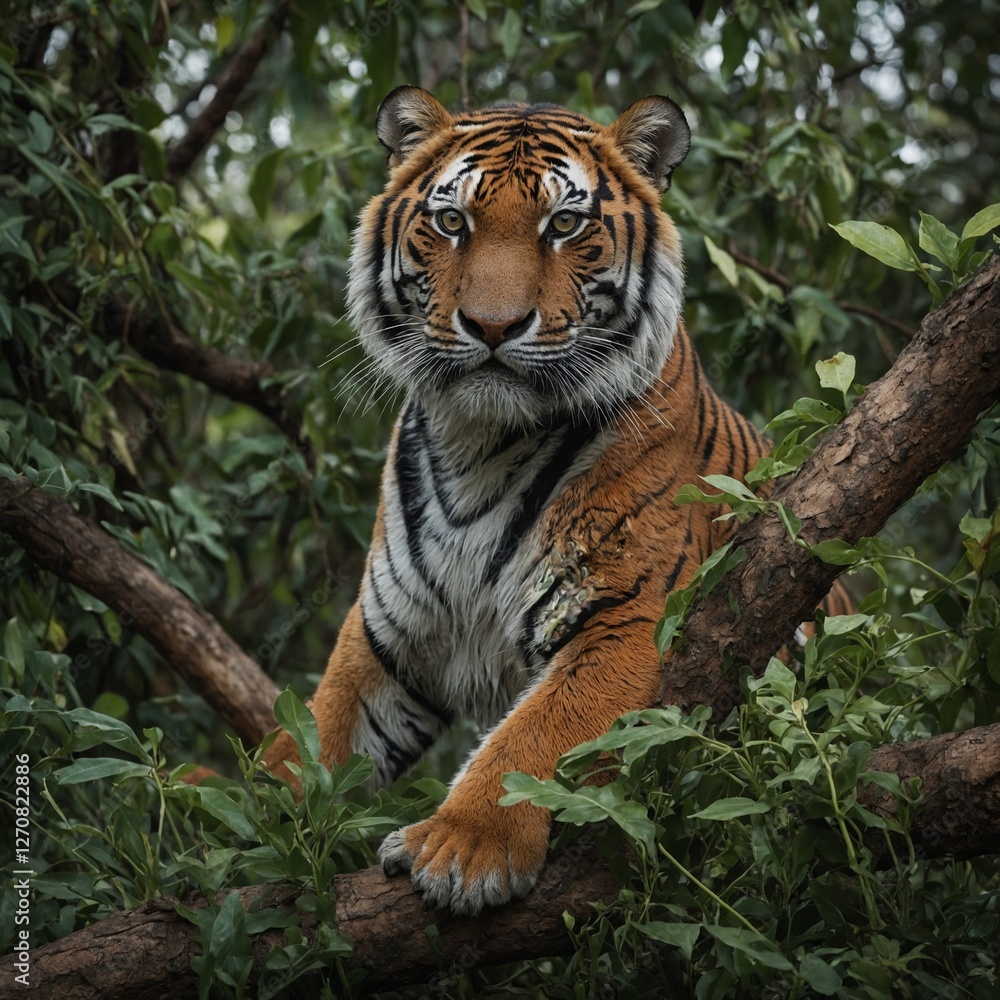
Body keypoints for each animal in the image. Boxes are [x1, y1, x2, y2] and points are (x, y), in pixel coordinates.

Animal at [262, 86, 849, 915]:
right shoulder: (385, 641)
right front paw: (231, 844)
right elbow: (309, 742)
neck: (477, 443)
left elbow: (532, 738)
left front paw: (460, 849)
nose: (493, 326)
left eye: (564, 225)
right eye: (453, 222)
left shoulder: (628, 622)